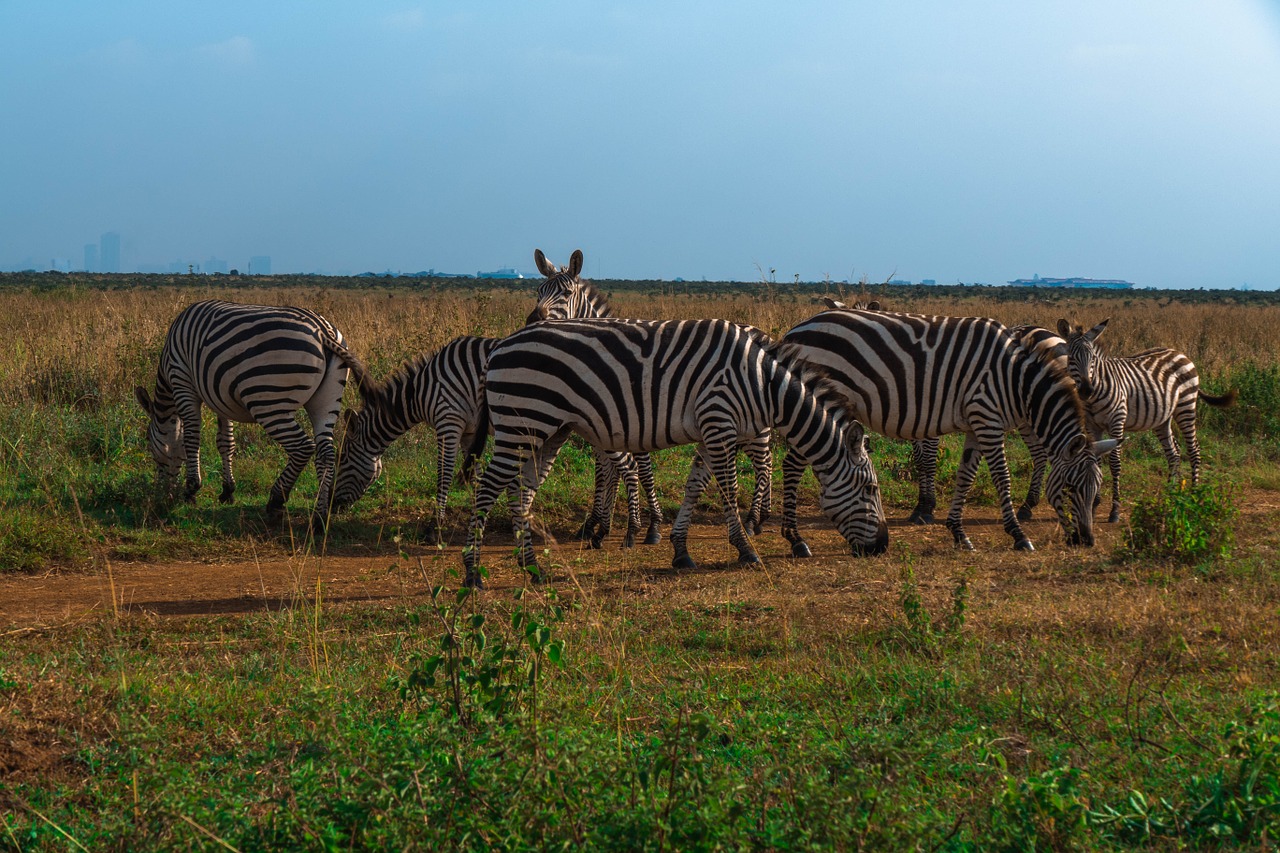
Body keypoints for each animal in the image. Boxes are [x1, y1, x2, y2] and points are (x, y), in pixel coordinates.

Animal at [134, 298, 371, 525]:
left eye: (149, 443)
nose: (161, 494)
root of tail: (323, 331)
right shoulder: (219, 397)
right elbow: (225, 442)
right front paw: (227, 491)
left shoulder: (182, 381)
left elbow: (191, 438)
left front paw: (191, 489)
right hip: (326, 401)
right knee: (326, 453)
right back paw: (319, 517)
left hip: (269, 401)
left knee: (303, 447)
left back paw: (276, 500)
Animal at [460, 315, 890, 589]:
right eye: (871, 490)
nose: (882, 547)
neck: (762, 383)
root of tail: (500, 344)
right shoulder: (719, 421)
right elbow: (728, 492)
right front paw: (746, 549)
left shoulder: (710, 430)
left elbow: (694, 487)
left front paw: (680, 551)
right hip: (524, 422)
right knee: (487, 488)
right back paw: (473, 572)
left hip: (550, 431)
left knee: (521, 492)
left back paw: (532, 568)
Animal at [527, 249, 768, 535]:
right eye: (538, 291)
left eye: (565, 293)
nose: (532, 320)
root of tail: (760, 332)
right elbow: (603, 469)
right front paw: (597, 521)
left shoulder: (633, 416)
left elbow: (639, 469)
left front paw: (649, 522)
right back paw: (763, 515)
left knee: (764, 463)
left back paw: (754, 520)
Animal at [773, 306, 1116, 550]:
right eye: (1070, 488)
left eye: (1097, 491)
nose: (1086, 541)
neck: (1016, 378)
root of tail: (797, 328)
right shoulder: (988, 419)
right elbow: (1001, 478)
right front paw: (1018, 535)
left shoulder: (976, 424)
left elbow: (965, 476)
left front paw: (958, 533)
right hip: (813, 405)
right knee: (791, 465)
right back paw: (795, 539)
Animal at [1054, 317, 1233, 517]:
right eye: (1071, 358)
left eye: (1092, 358)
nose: (1086, 390)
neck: (1097, 390)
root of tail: (1180, 353)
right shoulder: (1093, 426)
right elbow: (1096, 462)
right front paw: (1094, 503)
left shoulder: (1117, 421)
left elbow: (1114, 462)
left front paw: (1115, 509)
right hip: (1163, 417)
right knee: (1173, 452)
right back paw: (1171, 493)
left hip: (1186, 406)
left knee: (1193, 449)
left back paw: (1194, 494)